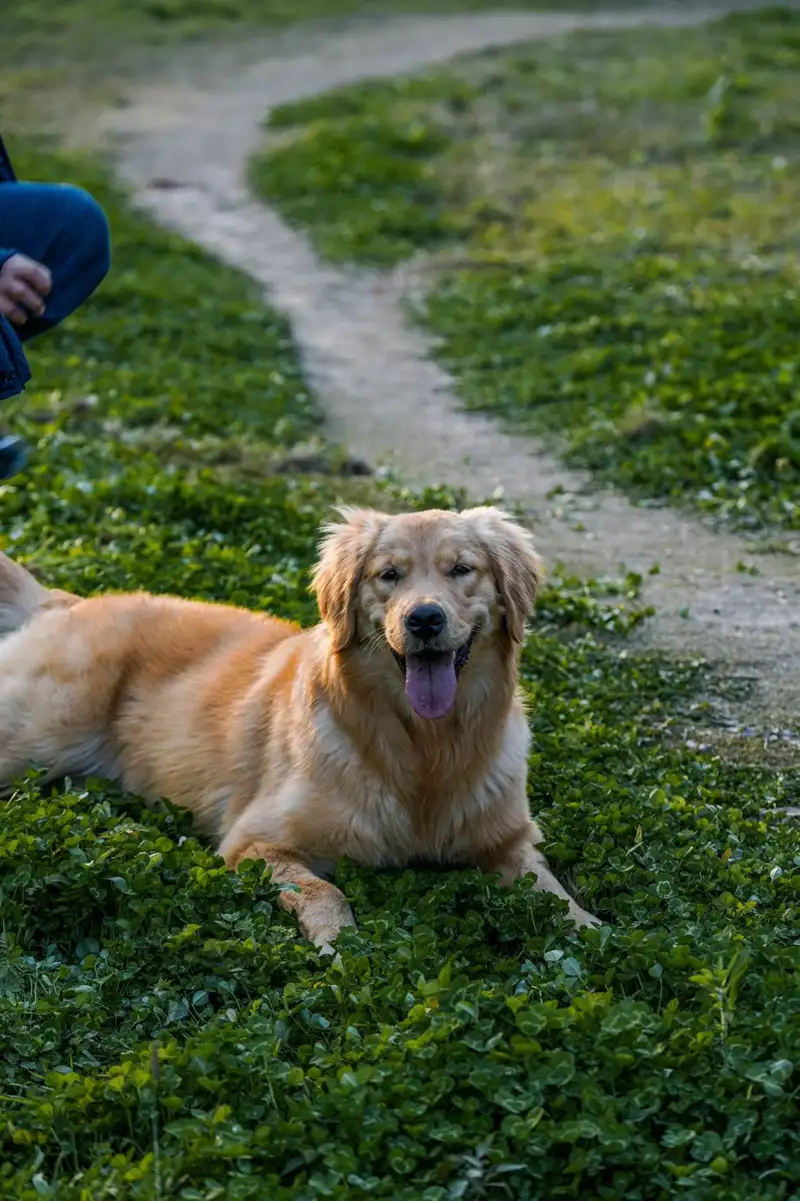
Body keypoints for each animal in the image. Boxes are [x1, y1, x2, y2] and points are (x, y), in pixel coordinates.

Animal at [0, 506, 598, 946]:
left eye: (461, 569)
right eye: (389, 575)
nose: (424, 619)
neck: (423, 748)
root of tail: (66, 601)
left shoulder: (508, 838)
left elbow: (551, 889)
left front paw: (591, 930)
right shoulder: (257, 841)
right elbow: (326, 893)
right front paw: (343, 948)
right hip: (42, 735)